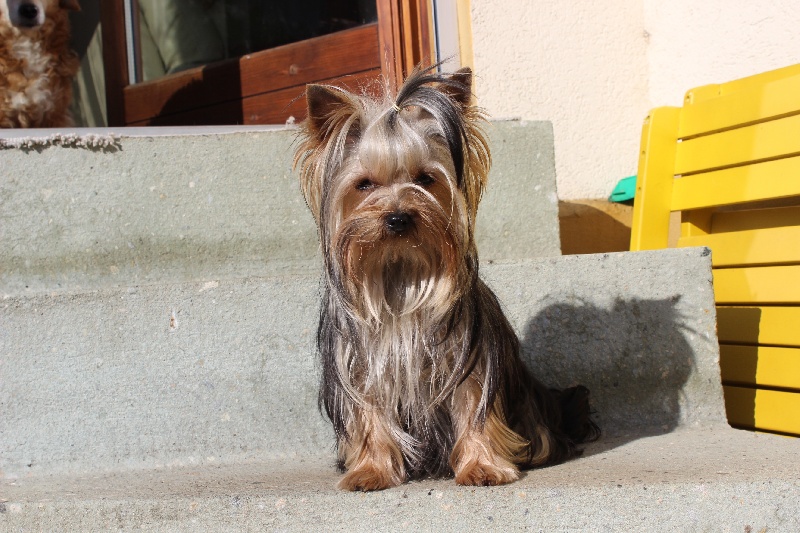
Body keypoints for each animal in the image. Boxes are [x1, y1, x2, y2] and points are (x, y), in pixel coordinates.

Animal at [295, 66, 599, 491]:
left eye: (425, 179)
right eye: (364, 184)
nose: (398, 217)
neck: (400, 273)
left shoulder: (467, 359)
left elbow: (474, 408)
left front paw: (483, 466)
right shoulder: (360, 367)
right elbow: (369, 416)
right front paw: (370, 470)